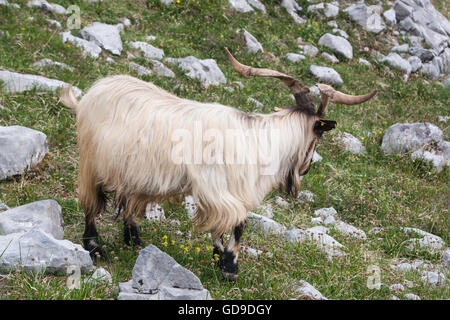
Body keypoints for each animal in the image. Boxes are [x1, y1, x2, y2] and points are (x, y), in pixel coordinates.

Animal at [59, 47, 376, 280]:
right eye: (318, 135)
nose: (306, 168)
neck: (259, 140)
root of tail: (90, 94)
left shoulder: (223, 191)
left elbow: (222, 226)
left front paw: (219, 260)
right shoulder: (217, 189)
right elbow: (237, 224)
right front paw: (230, 267)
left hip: (133, 174)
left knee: (128, 203)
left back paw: (135, 242)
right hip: (91, 163)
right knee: (91, 203)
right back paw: (94, 248)